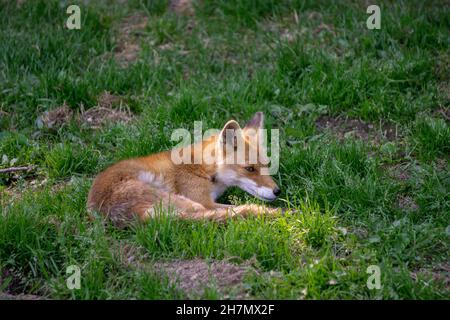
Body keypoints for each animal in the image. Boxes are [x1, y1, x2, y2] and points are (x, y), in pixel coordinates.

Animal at [86, 111, 280, 226]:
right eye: (250, 169)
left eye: (266, 165)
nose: (277, 191)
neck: (205, 169)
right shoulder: (205, 201)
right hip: (189, 203)